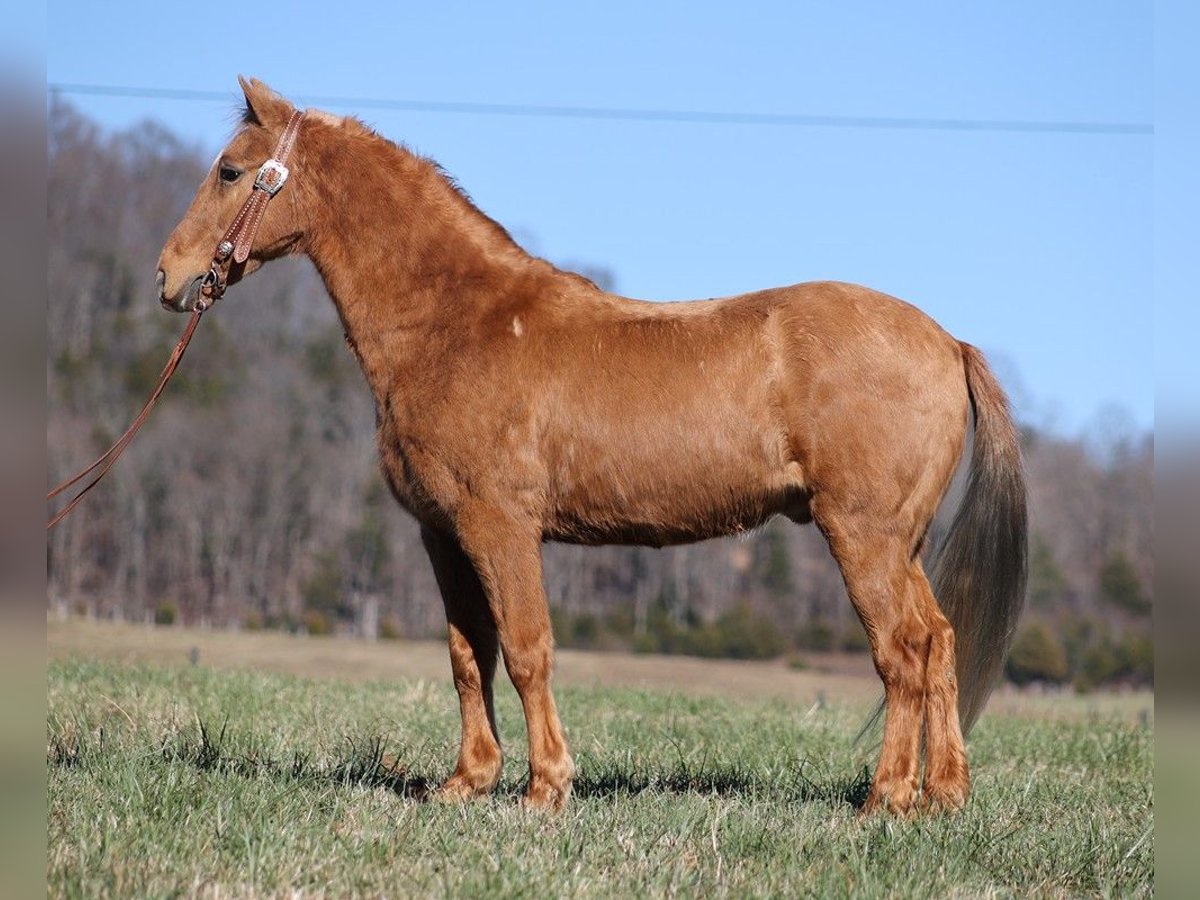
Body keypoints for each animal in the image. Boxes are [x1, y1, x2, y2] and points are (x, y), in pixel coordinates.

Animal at [154, 81, 1027, 820]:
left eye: (230, 170)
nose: (169, 276)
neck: (455, 321)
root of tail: (947, 341)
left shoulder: (500, 527)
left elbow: (526, 650)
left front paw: (545, 789)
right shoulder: (443, 535)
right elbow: (468, 654)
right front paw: (468, 781)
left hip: (863, 535)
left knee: (902, 652)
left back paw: (887, 799)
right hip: (900, 543)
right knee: (940, 642)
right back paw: (944, 794)